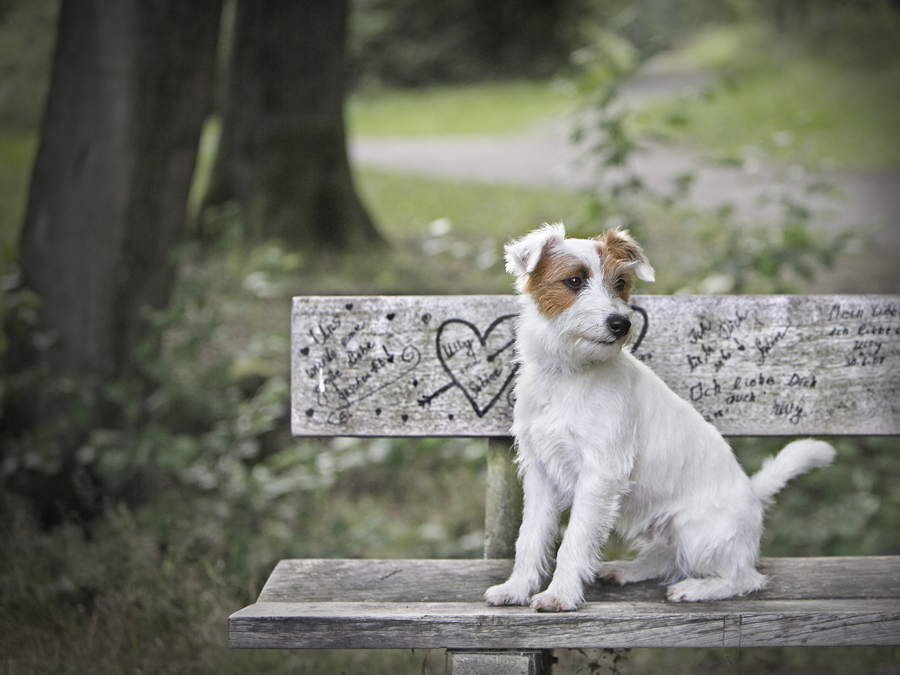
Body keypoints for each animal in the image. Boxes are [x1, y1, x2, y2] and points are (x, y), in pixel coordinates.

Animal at [486, 224, 836, 608]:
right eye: (574, 281)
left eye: (620, 282)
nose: (621, 324)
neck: (569, 373)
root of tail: (753, 497)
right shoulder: (540, 472)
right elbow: (529, 538)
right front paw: (516, 587)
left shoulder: (599, 475)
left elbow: (574, 542)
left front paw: (560, 594)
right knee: (666, 557)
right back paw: (627, 570)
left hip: (694, 530)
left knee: (745, 577)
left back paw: (697, 588)